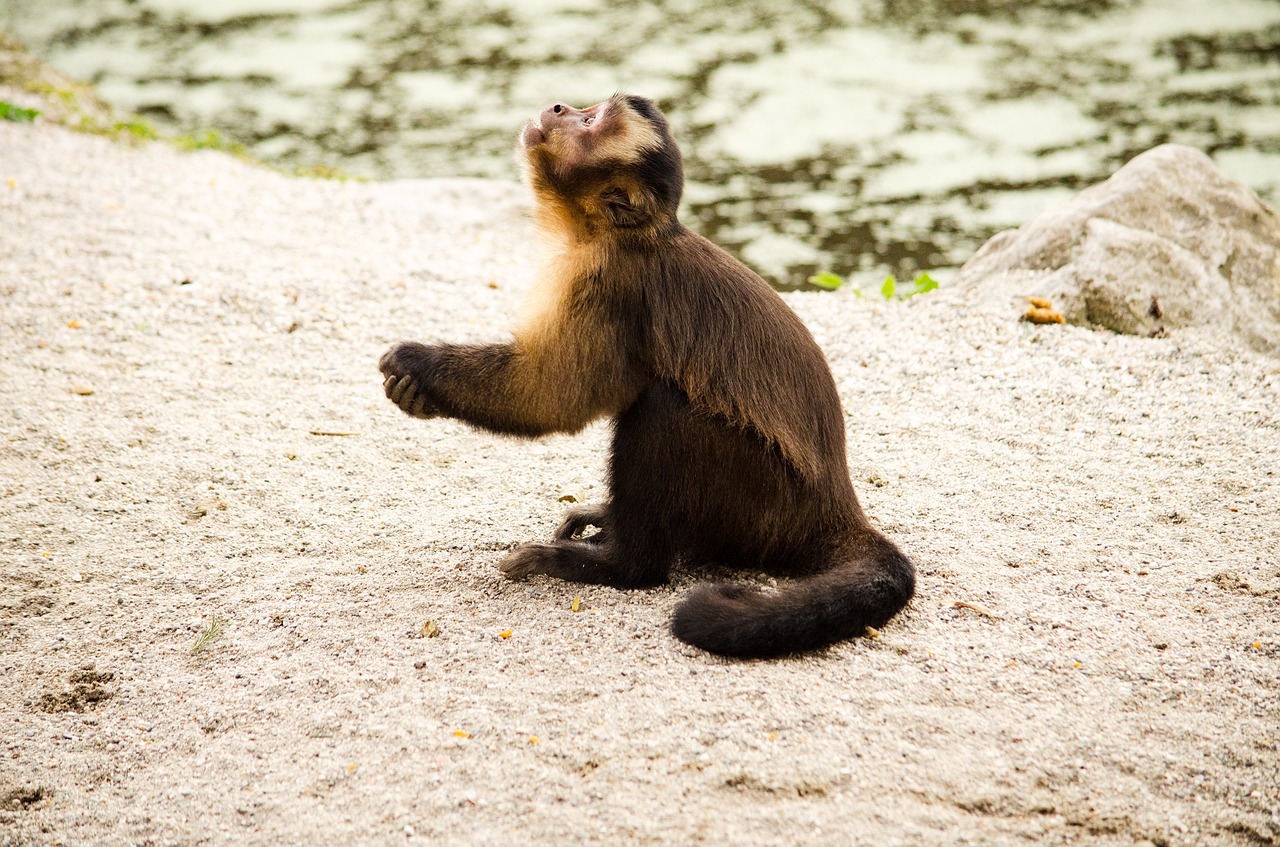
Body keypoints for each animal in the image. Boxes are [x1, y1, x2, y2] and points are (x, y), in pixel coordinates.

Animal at [373, 94, 916, 665]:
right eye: (585, 108)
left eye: (589, 123)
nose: (559, 107)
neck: (611, 233)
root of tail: (837, 505)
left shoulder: (605, 282)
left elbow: (551, 396)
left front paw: (418, 367)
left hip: (764, 503)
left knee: (662, 409)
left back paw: (621, 565)